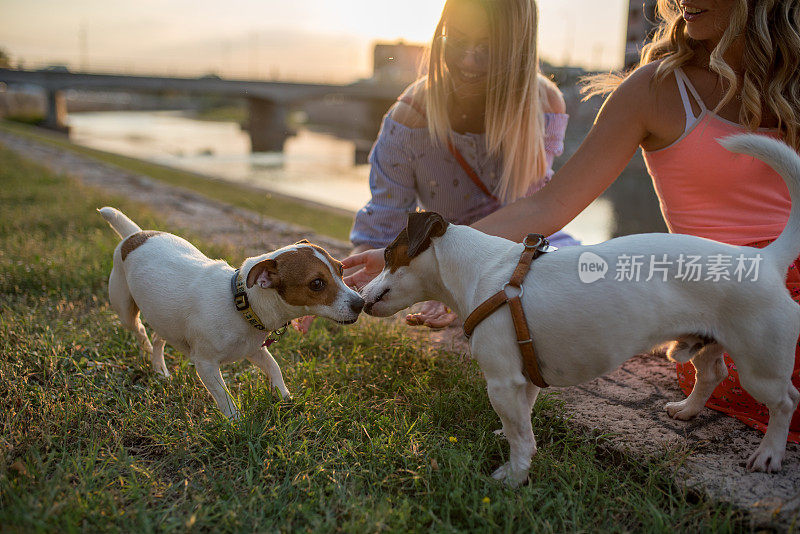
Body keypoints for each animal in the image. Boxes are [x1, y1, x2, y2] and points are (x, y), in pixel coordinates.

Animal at [98, 207, 364, 420]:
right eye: (316, 284)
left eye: (341, 269)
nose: (360, 303)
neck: (241, 304)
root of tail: (134, 235)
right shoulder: (205, 364)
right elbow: (223, 395)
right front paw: (236, 421)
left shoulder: (254, 349)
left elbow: (274, 367)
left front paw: (284, 396)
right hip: (125, 309)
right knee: (141, 331)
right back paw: (146, 350)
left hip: (165, 318)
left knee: (158, 338)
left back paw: (160, 370)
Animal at [360, 134, 800, 486]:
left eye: (388, 253)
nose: (362, 297)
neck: (484, 270)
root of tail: (763, 259)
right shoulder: (524, 377)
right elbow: (521, 420)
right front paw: (511, 438)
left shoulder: (502, 380)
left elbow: (521, 435)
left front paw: (514, 474)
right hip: (705, 342)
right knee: (711, 374)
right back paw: (689, 410)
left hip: (760, 365)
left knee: (785, 401)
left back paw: (769, 453)